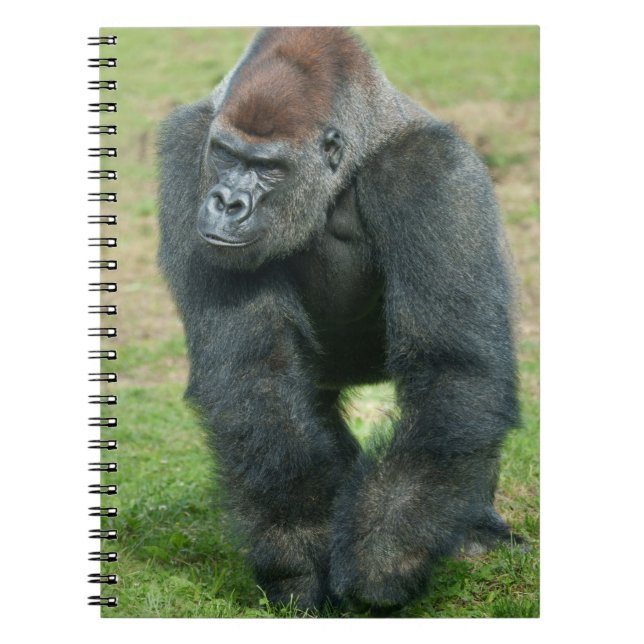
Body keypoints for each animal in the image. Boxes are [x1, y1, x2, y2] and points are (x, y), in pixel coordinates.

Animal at [158, 27, 519, 612]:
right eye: (226, 155)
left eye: (269, 168)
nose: (227, 201)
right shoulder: (190, 150)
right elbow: (255, 374)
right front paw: (297, 550)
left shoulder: (430, 172)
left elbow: (453, 369)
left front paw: (384, 557)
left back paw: (475, 532)